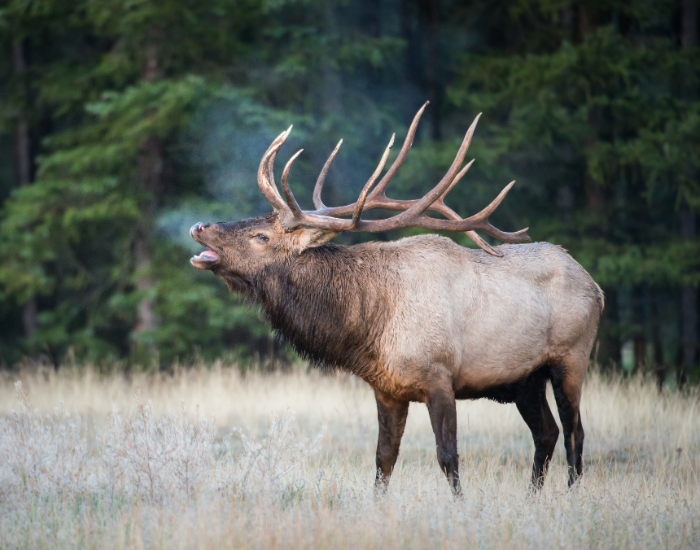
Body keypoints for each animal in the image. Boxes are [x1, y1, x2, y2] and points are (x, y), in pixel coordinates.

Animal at [189, 103, 604, 495]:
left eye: (260, 236)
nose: (198, 225)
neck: (369, 324)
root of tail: (595, 287)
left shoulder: (440, 375)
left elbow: (448, 456)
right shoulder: (387, 389)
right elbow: (383, 459)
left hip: (571, 358)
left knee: (575, 433)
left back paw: (571, 494)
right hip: (526, 379)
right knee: (547, 433)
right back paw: (532, 497)